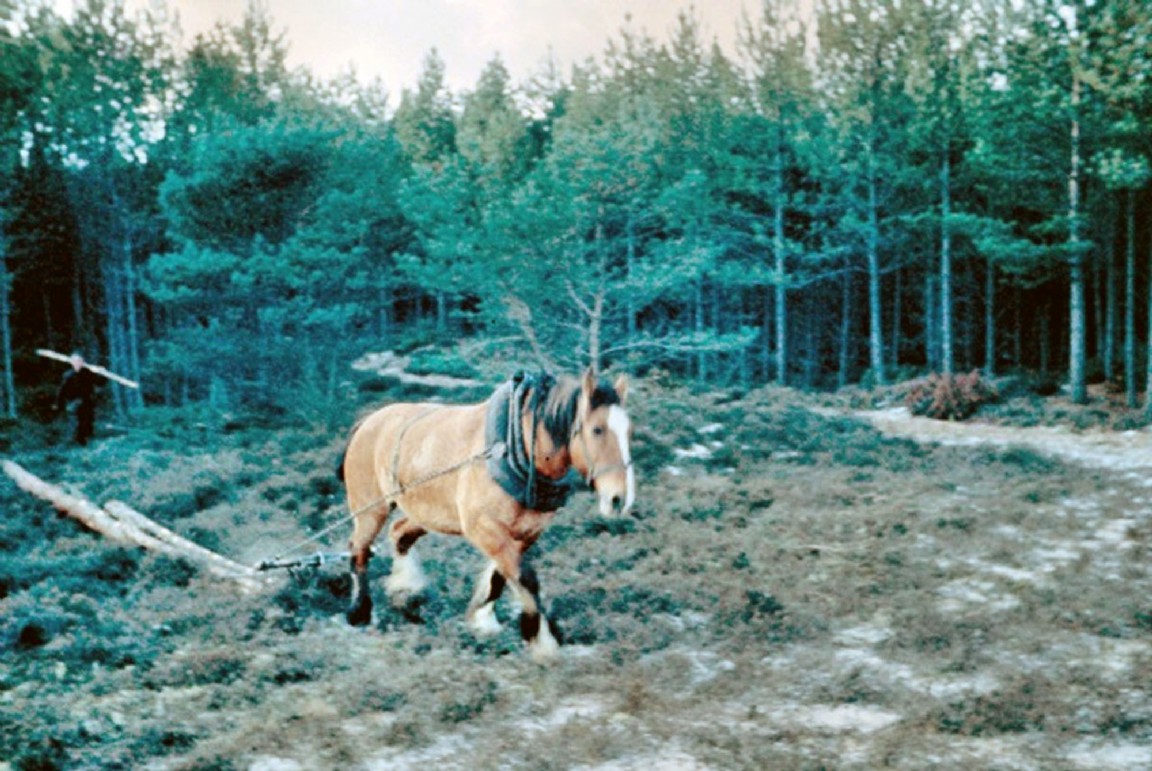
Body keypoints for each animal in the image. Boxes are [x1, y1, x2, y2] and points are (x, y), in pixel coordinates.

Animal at [338, 369, 635, 661]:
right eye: (597, 429)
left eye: (628, 431)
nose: (619, 498)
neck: (515, 448)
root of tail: (369, 421)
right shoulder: (484, 529)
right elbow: (525, 577)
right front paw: (542, 639)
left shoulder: (526, 532)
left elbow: (501, 577)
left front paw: (484, 620)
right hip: (371, 509)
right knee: (359, 550)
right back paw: (360, 611)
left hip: (429, 513)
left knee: (399, 533)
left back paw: (406, 590)